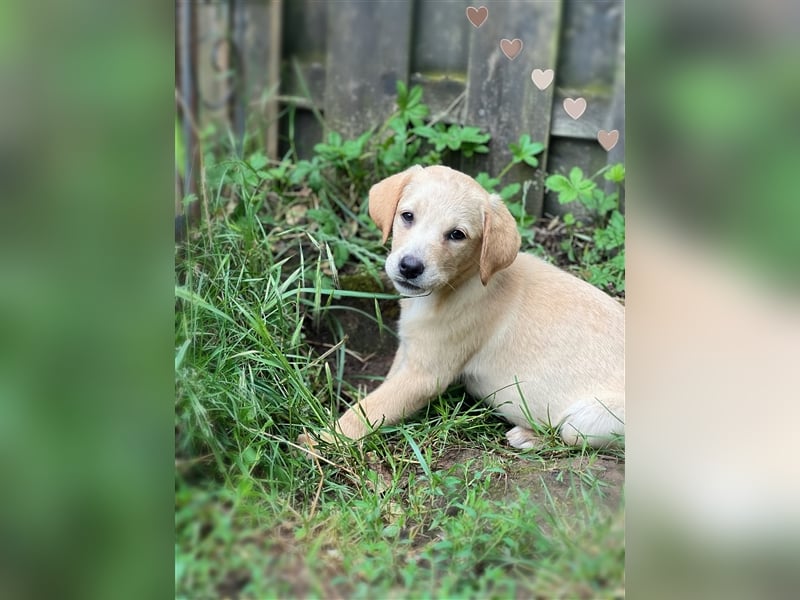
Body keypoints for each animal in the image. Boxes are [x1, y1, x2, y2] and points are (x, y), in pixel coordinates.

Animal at [306, 166, 624, 448]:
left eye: (457, 235)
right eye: (407, 216)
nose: (409, 267)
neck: (459, 284)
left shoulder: (425, 376)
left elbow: (368, 409)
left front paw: (320, 442)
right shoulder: (409, 353)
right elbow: (382, 387)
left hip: (585, 421)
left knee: (567, 438)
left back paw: (529, 436)